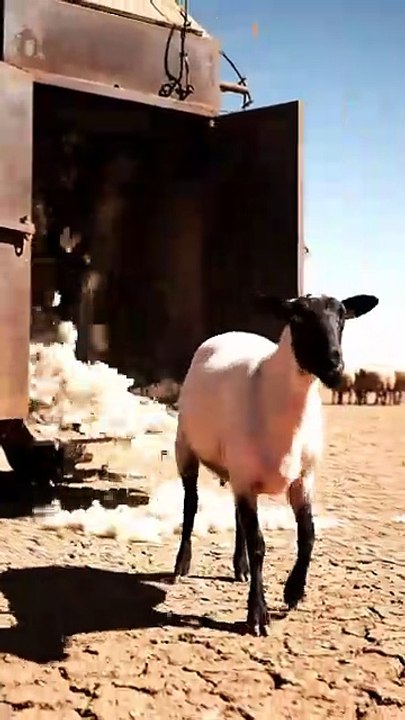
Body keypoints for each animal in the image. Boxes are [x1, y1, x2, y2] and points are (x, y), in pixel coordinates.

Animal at [172, 292, 379, 636]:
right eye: (296, 317)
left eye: (342, 318)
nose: (334, 367)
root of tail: (230, 333)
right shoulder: (245, 478)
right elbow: (258, 545)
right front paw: (257, 613)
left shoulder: (302, 480)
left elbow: (307, 536)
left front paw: (293, 591)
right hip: (185, 447)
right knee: (190, 505)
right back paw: (181, 564)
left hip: (238, 471)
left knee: (237, 518)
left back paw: (239, 568)